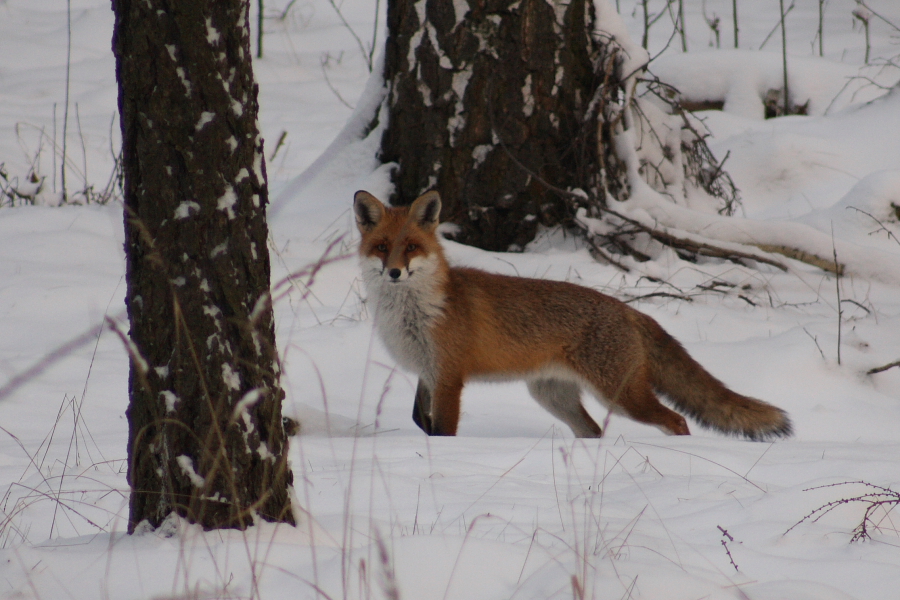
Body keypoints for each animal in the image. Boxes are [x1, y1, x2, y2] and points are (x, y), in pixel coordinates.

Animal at [356, 191, 792, 440]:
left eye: (411, 247)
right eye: (382, 247)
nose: (394, 273)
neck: (412, 316)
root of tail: (629, 310)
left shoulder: (449, 378)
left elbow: (442, 430)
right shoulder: (426, 372)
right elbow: (420, 420)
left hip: (621, 397)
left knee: (677, 421)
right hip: (554, 397)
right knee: (594, 431)